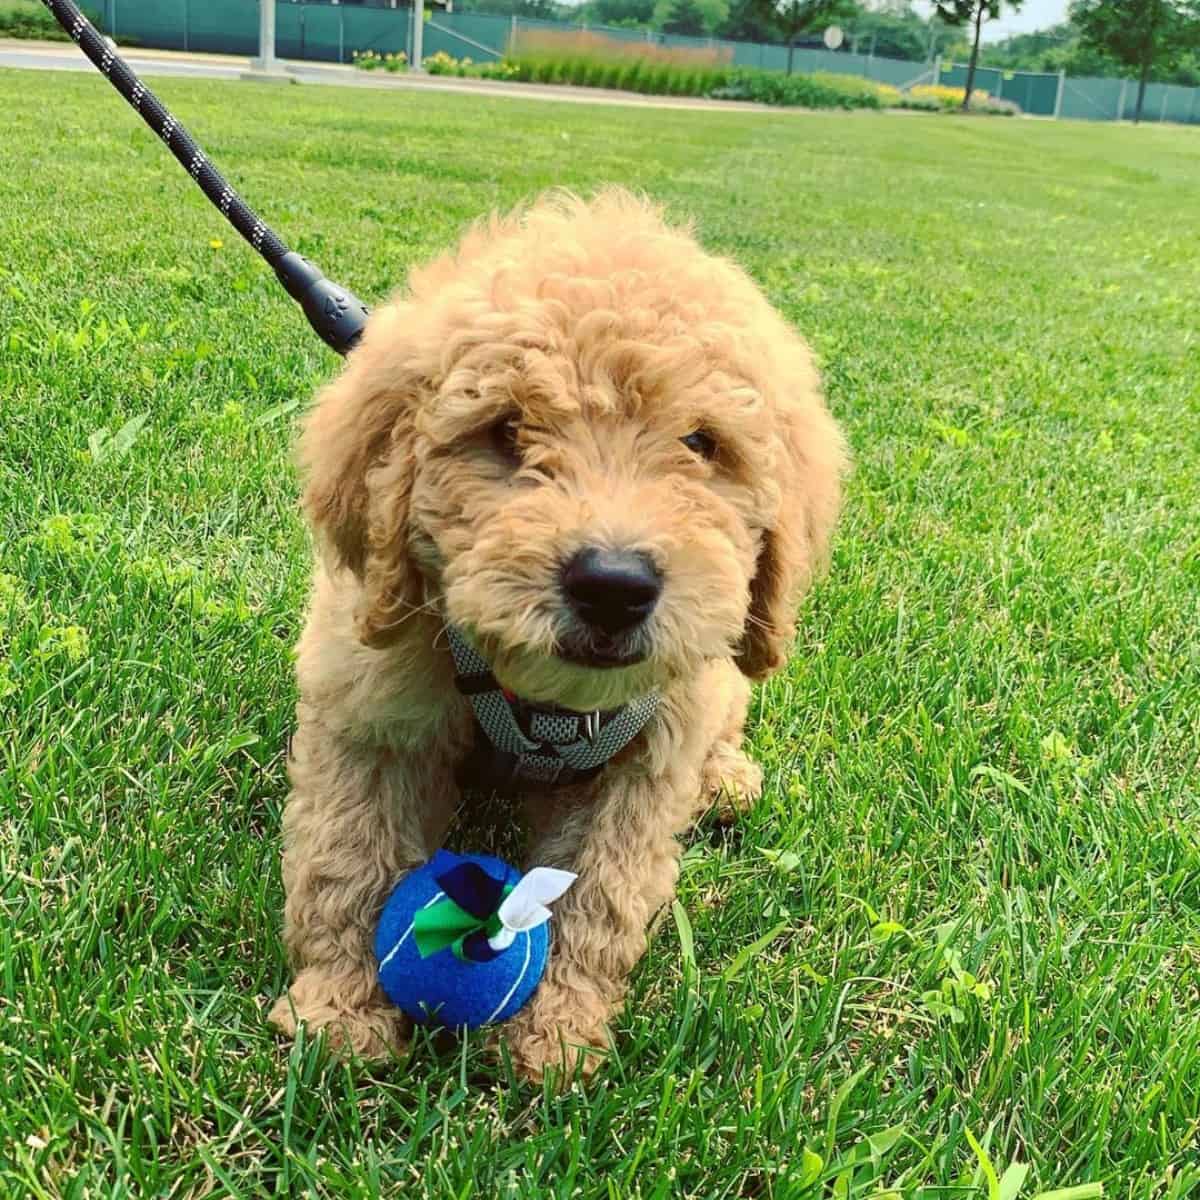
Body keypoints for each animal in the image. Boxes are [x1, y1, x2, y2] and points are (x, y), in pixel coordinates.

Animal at [270, 189, 854, 1080]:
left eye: (699, 443)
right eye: (507, 431)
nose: (613, 586)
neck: (543, 698)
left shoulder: (645, 764)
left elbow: (601, 895)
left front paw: (554, 1039)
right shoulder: (372, 712)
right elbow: (347, 853)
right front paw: (338, 1015)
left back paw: (725, 781)